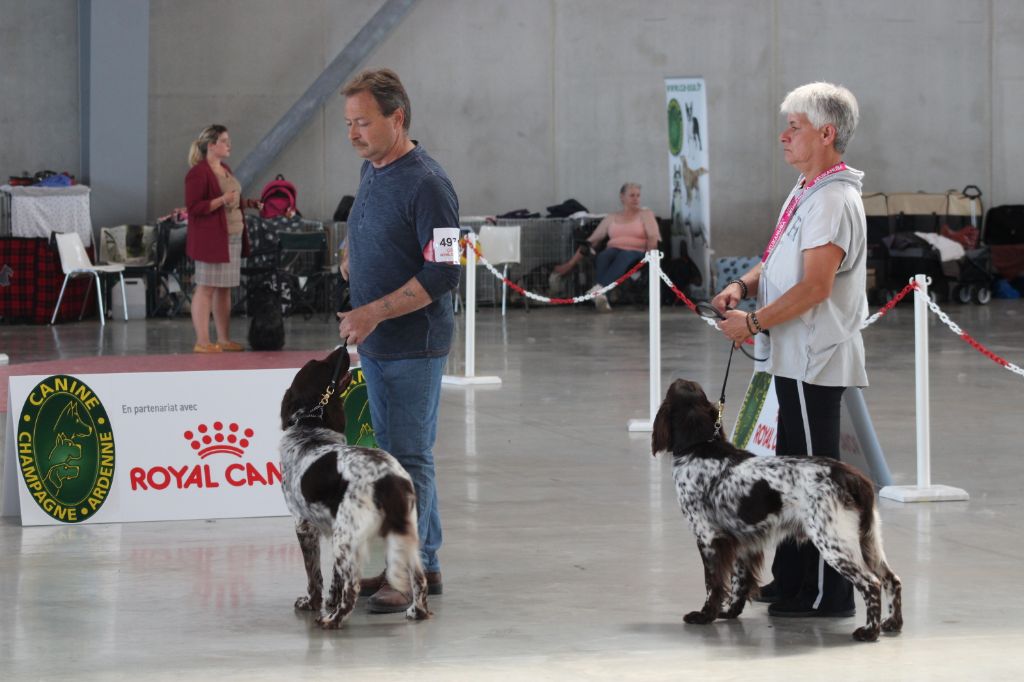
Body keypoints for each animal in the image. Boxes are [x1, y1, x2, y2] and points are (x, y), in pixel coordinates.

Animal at [279, 347, 430, 628]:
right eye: (322, 363)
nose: (341, 348)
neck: (310, 428)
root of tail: (388, 477)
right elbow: (335, 578)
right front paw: (329, 600)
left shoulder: (304, 525)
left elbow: (314, 575)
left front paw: (312, 603)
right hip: (403, 532)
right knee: (419, 578)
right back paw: (418, 611)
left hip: (345, 537)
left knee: (353, 589)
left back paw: (331, 621)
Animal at [651, 379, 902, 642]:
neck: (699, 447)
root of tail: (852, 477)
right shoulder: (742, 540)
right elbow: (738, 581)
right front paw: (730, 611)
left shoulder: (708, 537)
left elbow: (713, 583)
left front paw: (704, 615)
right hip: (868, 541)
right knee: (892, 579)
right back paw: (892, 623)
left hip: (833, 542)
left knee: (871, 583)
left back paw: (869, 631)